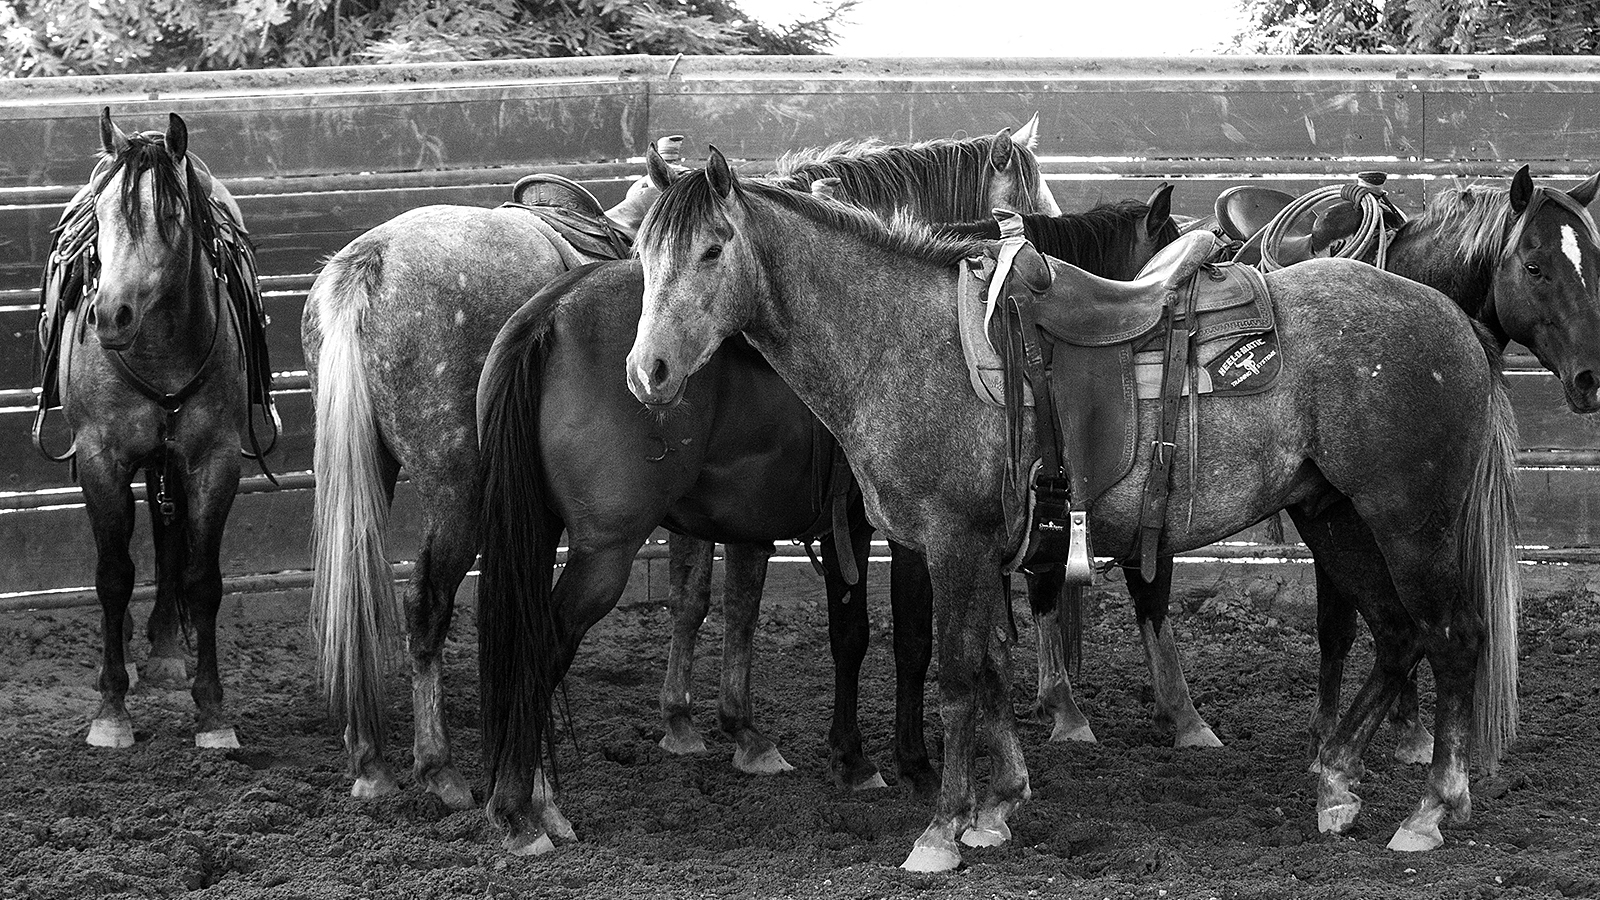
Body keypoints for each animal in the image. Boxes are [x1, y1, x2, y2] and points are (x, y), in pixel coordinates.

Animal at [38, 110, 274, 749]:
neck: (159, 349)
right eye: (102, 216)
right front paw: (111, 710)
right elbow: (113, 574)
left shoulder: (214, 461)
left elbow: (202, 578)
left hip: (169, 461)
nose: (110, 315)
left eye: (170, 217)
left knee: (169, 542)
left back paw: (168, 652)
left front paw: (213, 715)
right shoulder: (102, 459)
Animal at [304, 123, 1059, 808]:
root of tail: (369, 261)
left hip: (376, 478)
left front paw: (710, 726)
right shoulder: (871, 522)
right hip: (466, 493)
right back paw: (444, 769)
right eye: (1035, 201)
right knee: (431, 610)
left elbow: (711, 603)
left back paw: (373, 759)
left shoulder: (738, 513)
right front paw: (888, 761)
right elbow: (886, 635)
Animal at [624, 151, 1520, 869]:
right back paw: (1336, 784)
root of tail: (1449, 320)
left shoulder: (951, 544)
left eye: (713, 248)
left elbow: (957, 676)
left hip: (1410, 518)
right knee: (1398, 634)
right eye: (642, 252)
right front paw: (997, 807)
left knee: (1452, 635)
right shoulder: (979, 550)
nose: (649, 371)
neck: (901, 342)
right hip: (1336, 515)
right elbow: (991, 669)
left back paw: (1430, 810)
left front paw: (942, 832)